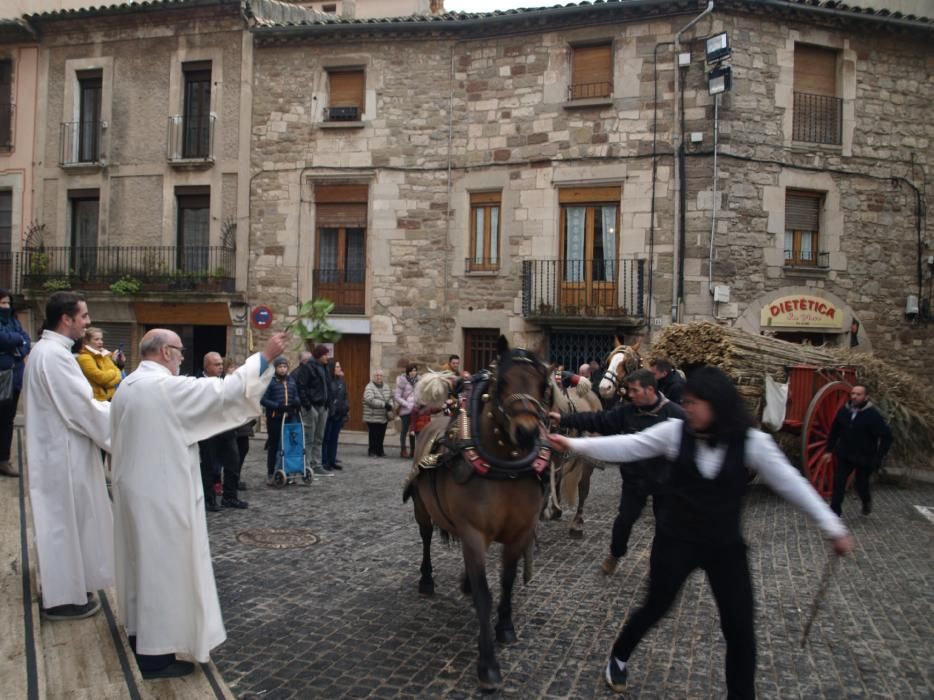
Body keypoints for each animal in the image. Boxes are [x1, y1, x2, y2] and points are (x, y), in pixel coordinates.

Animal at [406, 336, 552, 692]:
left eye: (543, 385)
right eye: (501, 383)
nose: (527, 433)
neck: (505, 468)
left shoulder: (519, 533)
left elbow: (507, 581)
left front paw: (506, 627)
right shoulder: (473, 532)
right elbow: (486, 594)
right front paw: (487, 664)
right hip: (421, 509)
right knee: (426, 539)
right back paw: (427, 580)